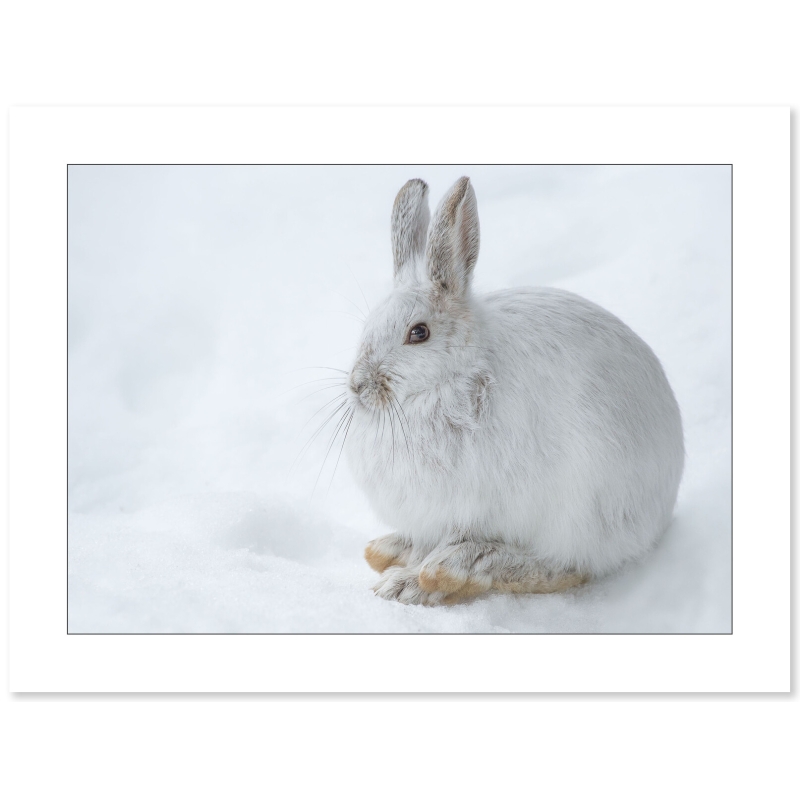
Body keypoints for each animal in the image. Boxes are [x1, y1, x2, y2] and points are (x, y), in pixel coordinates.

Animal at [344, 176, 684, 605]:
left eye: (418, 333)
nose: (358, 385)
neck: (448, 381)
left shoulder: (471, 510)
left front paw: (411, 584)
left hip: (583, 512)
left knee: (565, 568)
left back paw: (454, 568)